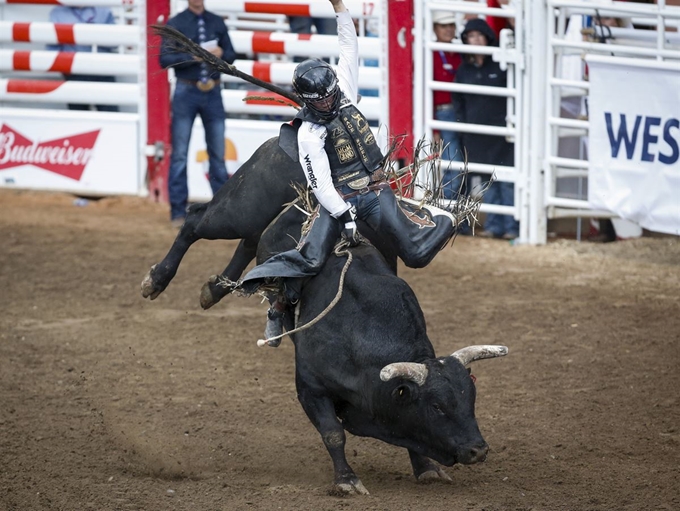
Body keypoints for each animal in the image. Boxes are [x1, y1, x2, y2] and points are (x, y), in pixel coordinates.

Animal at [252, 205, 508, 496]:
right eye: (437, 406)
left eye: (472, 398)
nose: (478, 450)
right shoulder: (310, 387)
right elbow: (333, 434)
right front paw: (346, 480)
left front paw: (426, 469)